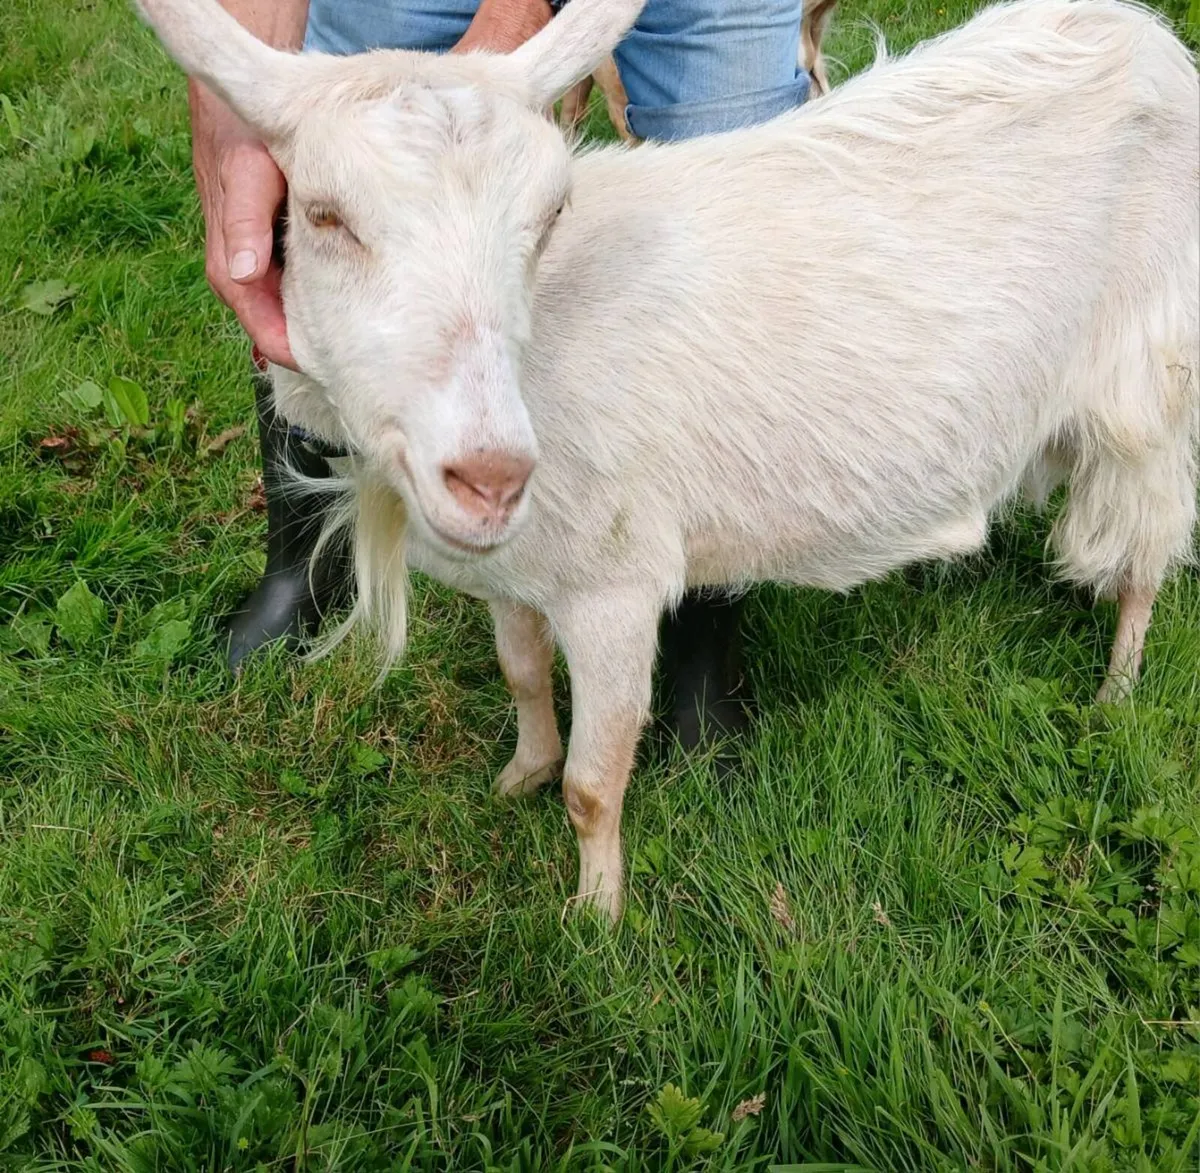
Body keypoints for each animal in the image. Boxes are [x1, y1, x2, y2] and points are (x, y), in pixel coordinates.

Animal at [137, 0, 1199, 922]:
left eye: (547, 217)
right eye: (322, 216)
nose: (492, 475)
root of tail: (1144, 35)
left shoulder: (615, 588)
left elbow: (594, 783)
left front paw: (596, 915)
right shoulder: (516, 569)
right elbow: (522, 673)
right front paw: (516, 773)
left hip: (1153, 388)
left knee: (1147, 558)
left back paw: (1115, 692)